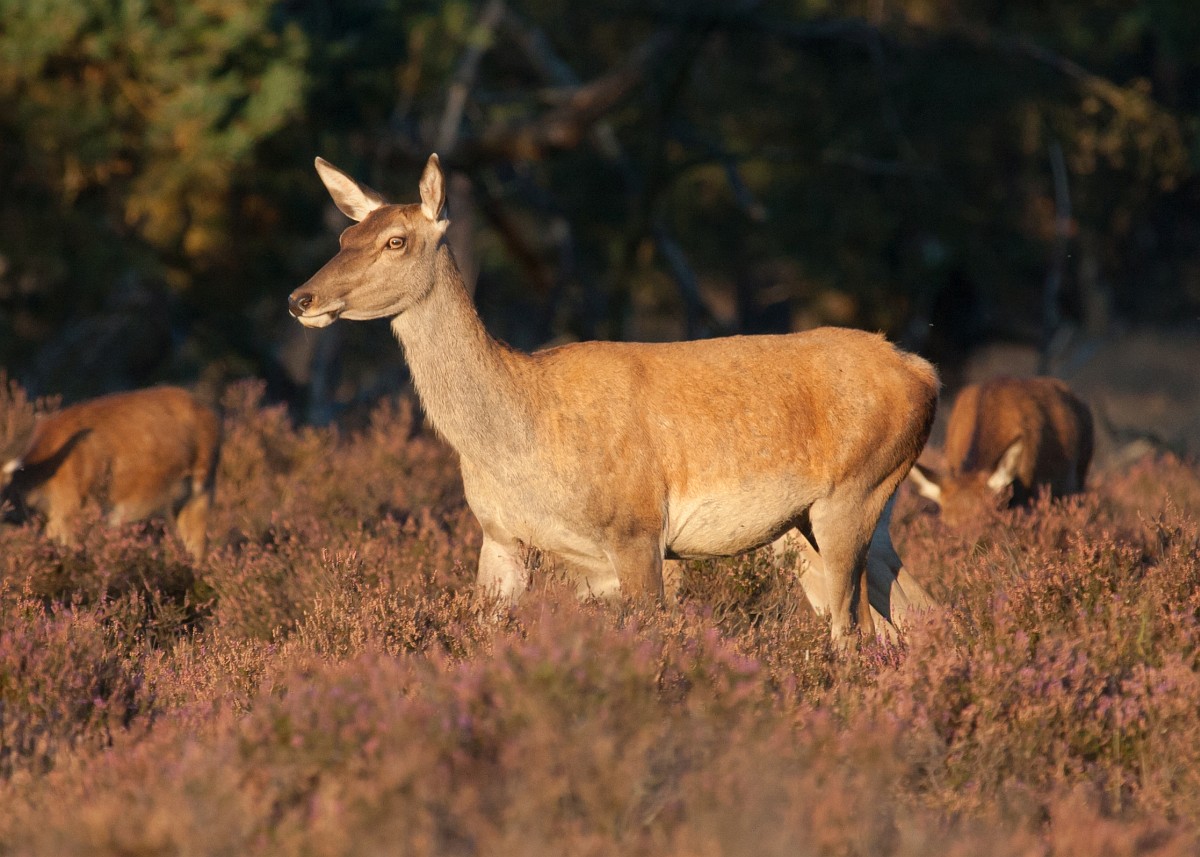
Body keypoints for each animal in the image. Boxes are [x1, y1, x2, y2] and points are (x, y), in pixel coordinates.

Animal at [287, 154, 940, 642]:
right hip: (851, 513)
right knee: (915, 613)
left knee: (856, 630)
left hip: (851, 494)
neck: (521, 435)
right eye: (345, 234)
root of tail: (925, 372)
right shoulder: (501, 538)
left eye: (396, 240)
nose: (301, 298)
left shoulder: (637, 528)